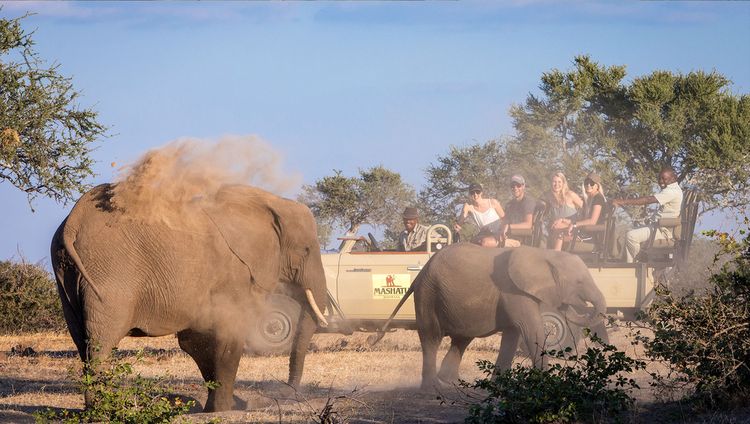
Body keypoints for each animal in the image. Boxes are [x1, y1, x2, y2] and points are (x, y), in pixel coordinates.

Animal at [48, 184, 328, 412]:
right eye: (305, 250)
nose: (286, 394)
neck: (265, 202)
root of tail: (74, 221)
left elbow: (196, 341)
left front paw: (214, 407)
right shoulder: (234, 274)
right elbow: (228, 336)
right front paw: (222, 410)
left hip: (66, 275)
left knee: (82, 343)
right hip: (110, 273)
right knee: (100, 346)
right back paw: (104, 410)